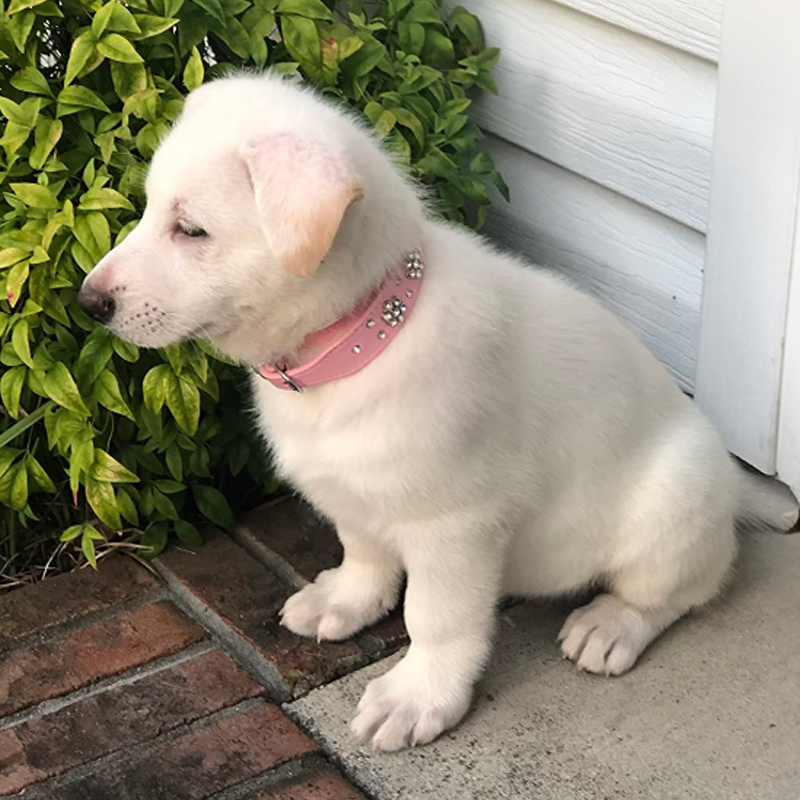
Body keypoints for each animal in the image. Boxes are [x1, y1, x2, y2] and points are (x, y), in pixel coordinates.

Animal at [78, 73, 792, 752]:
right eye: (149, 208)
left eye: (191, 229)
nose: (88, 303)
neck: (360, 341)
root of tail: (733, 488)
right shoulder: (354, 494)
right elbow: (364, 551)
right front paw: (347, 601)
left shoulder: (456, 527)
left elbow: (435, 618)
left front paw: (418, 697)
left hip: (670, 508)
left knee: (682, 590)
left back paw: (610, 625)